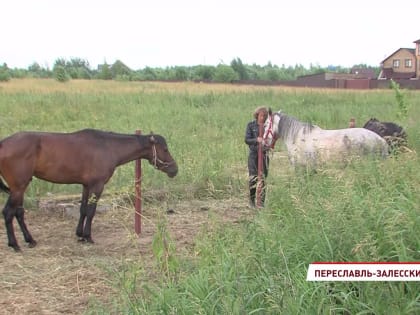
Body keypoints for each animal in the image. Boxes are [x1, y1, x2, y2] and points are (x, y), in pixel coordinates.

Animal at [0, 128, 178, 252]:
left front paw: (79, 235)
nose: (174, 170)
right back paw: (14, 244)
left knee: (18, 213)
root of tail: (3, 144)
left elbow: (83, 210)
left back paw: (29, 240)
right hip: (18, 188)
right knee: (8, 212)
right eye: (165, 149)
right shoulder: (97, 185)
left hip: (20, 188)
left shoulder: (86, 186)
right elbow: (91, 211)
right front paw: (88, 236)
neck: (108, 147)